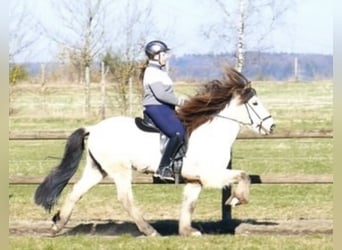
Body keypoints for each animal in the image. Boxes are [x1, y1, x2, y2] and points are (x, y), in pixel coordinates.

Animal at [34, 66, 276, 236]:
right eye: (255, 103)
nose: (271, 126)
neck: (211, 134)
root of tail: (93, 128)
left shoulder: (195, 180)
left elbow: (189, 205)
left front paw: (187, 231)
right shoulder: (211, 175)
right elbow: (243, 176)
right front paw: (235, 200)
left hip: (97, 169)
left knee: (76, 192)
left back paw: (57, 225)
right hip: (120, 170)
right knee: (125, 198)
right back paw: (149, 231)